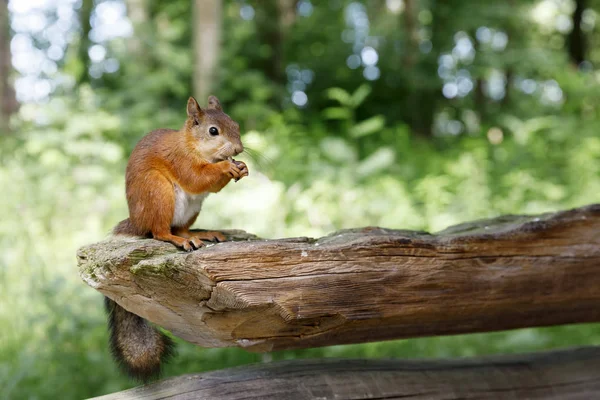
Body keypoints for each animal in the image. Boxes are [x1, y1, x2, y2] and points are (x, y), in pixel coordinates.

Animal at [104, 95, 247, 382]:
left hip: (192, 208)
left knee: (180, 227)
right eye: (213, 131)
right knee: (160, 231)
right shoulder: (180, 161)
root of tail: (137, 222)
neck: (193, 146)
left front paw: (242, 168)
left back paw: (197, 234)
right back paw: (177, 240)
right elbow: (197, 178)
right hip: (158, 191)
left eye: (236, 124)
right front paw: (227, 166)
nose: (238, 149)